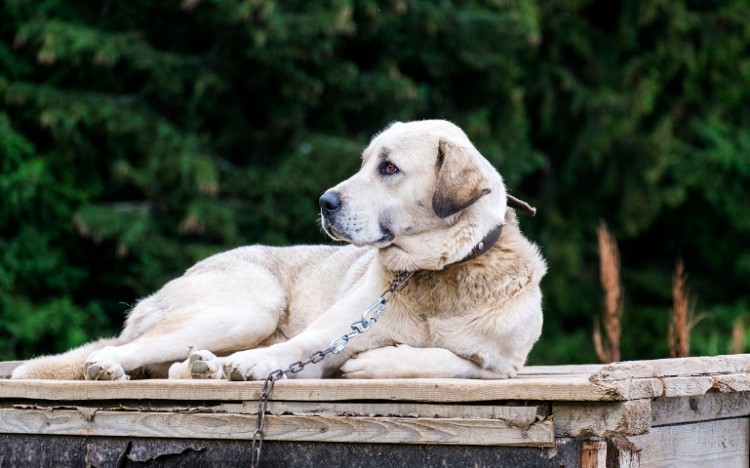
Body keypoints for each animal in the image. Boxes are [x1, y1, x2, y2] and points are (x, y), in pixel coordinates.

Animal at [11, 119, 548, 380]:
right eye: (364, 163)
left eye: (389, 168)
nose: (325, 202)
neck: (436, 272)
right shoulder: (327, 334)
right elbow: (300, 346)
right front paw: (258, 365)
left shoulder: (503, 367)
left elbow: (450, 360)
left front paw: (376, 363)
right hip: (252, 305)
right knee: (131, 350)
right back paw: (112, 367)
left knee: (175, 366)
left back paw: (207, 367)